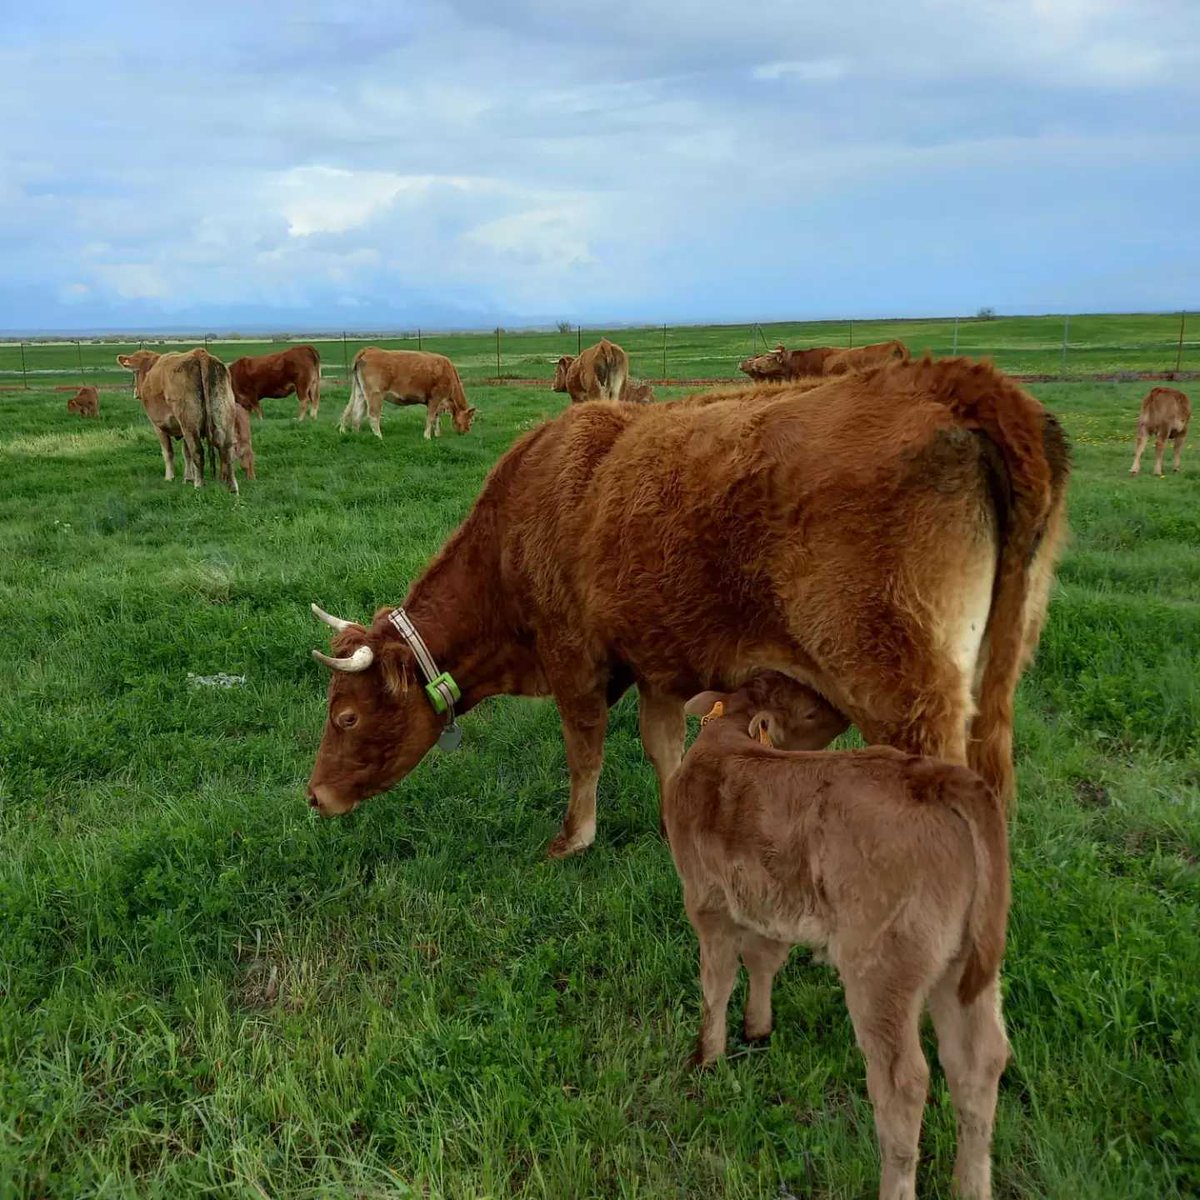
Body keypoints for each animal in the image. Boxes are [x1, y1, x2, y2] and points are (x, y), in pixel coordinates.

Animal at [116, 348, 240, 493]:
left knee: (198, 452)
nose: (136, 393)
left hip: (189, 423)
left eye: (135, 372)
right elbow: (186, 453)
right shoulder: (182, 430)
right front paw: (188, 478)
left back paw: (199, 484)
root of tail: (199, 354)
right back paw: (232, 487)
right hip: (224, 418)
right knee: (227, 451)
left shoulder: (158, 426)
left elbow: (168, 452)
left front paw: (170, 477)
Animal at [339, 348, 476, 440]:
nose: (466, 432)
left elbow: (437, 418)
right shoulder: (435, 398)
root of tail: (370, 350)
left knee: (356, 413)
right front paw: (427, 437)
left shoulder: (438, 402)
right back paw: (379, 436)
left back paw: (356, 434)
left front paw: (437, 434)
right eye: (470, 422)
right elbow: (431, 417)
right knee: (372, 415)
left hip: (360, 393)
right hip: (375, 394)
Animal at [667, 672, 1008, 1200]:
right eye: (809, 709)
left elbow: (716, 982)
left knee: (904, 1081)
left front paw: (707, 1055)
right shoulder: (770, 905)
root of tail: (930, 777)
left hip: (881, 970)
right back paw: (970, 1185)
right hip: (966, 964)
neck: (726, 737)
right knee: (978, 1060)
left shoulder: (706, 901)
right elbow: (763, 960)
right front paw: (757, 1028)